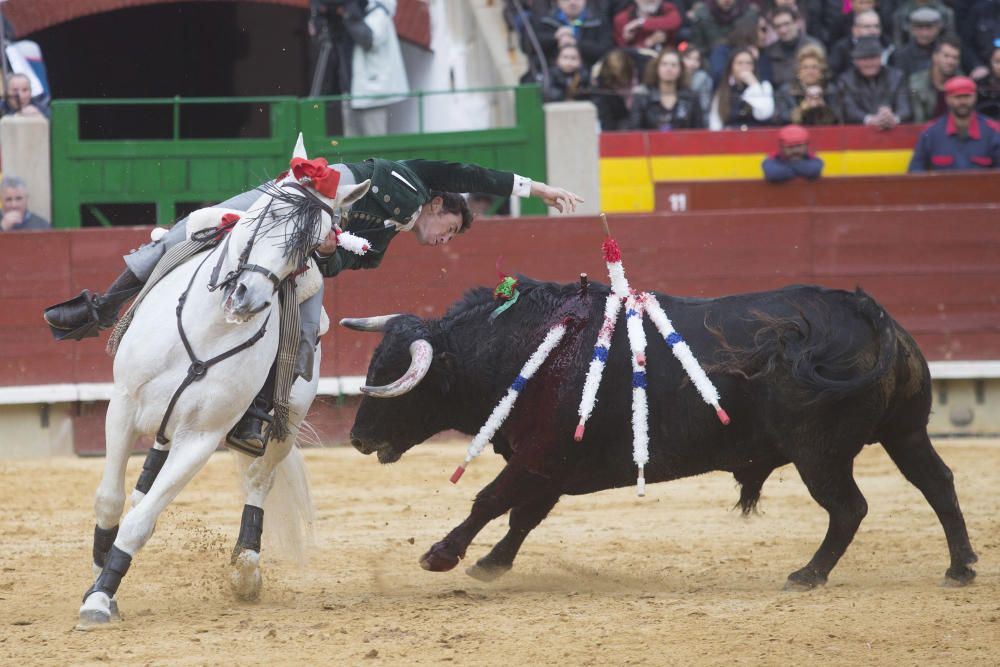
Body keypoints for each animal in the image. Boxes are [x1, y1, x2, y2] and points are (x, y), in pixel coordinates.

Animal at [77, 137, 368, 632]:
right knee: (143, 481)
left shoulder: (201, 438)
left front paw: (99, 597)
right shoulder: (122, 405)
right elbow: (110, 500)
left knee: (258, 479)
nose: (247, 296)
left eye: (315, 243)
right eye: (267, 212)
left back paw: (246, 568)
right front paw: (101, 584)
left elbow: (142, 521)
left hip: (287, 421)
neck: (209, 329)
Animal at [346, 280, 976, 592]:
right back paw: (960, 568)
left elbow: (489, 500)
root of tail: (864, 309)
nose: (355, 439)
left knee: (849, 508)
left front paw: (441, 555)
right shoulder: (551, 465)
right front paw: (490, 564)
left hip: (818, 454)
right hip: (905, 431)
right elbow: (523, 515)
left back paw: (808, 575)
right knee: (938, 482)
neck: (529, 348)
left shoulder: (539, 456)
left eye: (396, 379)